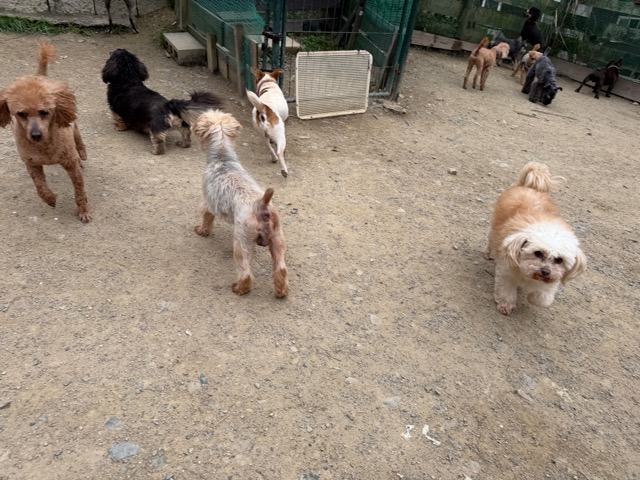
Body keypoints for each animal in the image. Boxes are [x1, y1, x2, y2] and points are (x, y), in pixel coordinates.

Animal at [0, 42, 91, 222]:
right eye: (21, 113)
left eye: (44, 112)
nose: (36, 135)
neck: (45, 146)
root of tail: (40, 76)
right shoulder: (32, 164)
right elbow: (40, 186)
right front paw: (50, 199)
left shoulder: (71, 165)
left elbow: (80, 191)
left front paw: (83, 211)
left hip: (73, 127)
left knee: (78, 139)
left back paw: (82, 153)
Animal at [192, 110, 288, 298]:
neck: (223, 159)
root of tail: (261, 204)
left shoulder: (208, 204)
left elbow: (206, 219)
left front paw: (202, 231)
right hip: (277, 239)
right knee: (281, 269)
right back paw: (281, 291)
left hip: (241, 241)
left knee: (245, 272)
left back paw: (240, 288)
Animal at [486, 162, 586, 315]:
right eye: (538, 253)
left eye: (559, 260)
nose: (545, 271)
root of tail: (531, 187)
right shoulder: (507, 272)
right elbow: (506, 290)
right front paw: (506, 304)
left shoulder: (550, 281)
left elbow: (542, 298)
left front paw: (535, 297)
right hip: (495, 227)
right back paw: (489, 253)